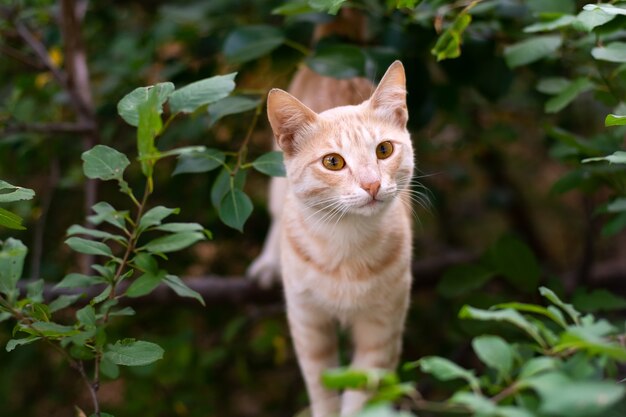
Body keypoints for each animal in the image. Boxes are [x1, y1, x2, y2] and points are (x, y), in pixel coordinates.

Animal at [246, 59, 412, 416]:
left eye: (384, 150)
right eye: (332, 162)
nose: (372, 184)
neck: (346, 241)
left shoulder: (383, 329)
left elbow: (361, 395)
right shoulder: (308, 323)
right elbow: (321, 389)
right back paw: (268, 263)